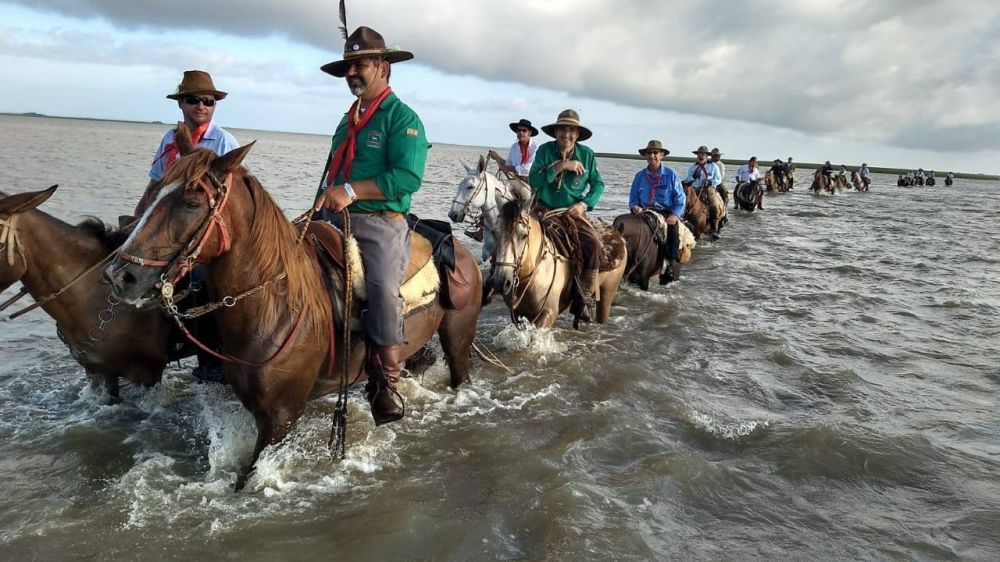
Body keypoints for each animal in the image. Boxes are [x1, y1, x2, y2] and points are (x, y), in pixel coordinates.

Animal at [105, 137, 484, 486]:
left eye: (191, 203)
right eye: (154, 191)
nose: (119, 275)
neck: (273, 304)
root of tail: (460, 248)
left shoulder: (280, 418)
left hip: (458, 337)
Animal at [492, 198, 624, 326]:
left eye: (524, 235)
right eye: (495, 233)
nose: (501, 281)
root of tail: (617, 233)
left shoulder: (549, 312)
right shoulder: (519, 314)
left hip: (608, 292)